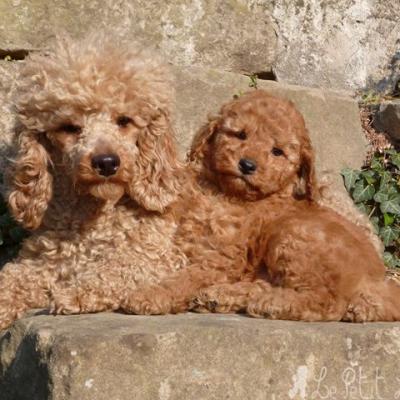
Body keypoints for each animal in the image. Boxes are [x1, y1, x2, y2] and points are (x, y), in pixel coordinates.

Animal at [0, 35, 184, 328]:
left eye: (124, 120)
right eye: (69, 127)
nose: (107, 162)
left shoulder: (157, 258)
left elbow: (117, 270)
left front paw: (74, 292)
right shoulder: (42, 261)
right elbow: (11, 277)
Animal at [122, 90, 400, 322]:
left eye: (277, 151)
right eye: (240, 134)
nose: (247, 165)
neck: (228, 193)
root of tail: (376, 280)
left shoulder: (220, 259)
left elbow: (185, 278)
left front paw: (149, 296)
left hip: (293, 236)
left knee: (326, 302)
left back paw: (270, 303)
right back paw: (223, 297)